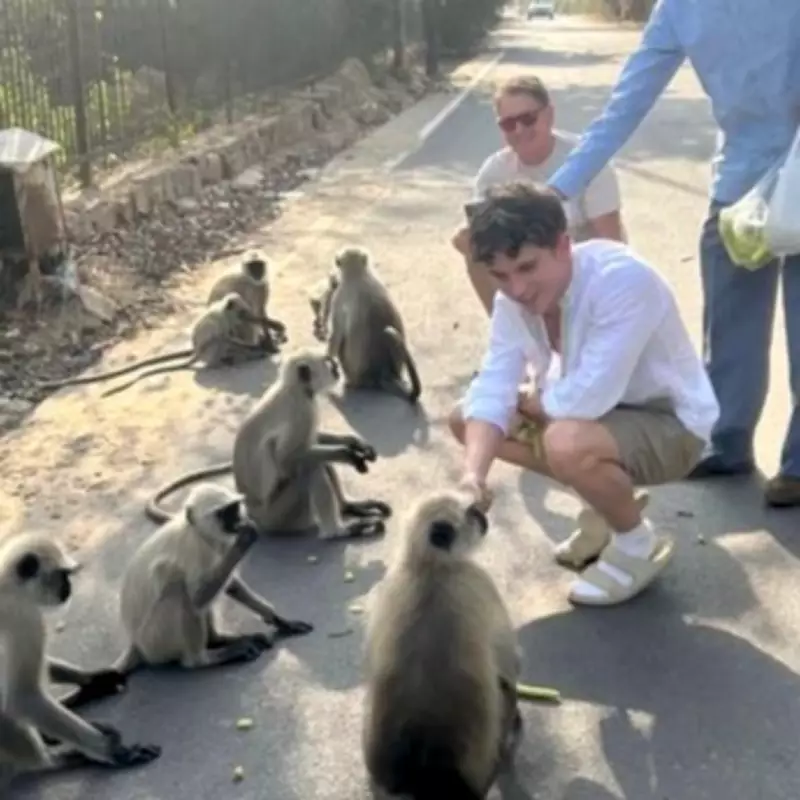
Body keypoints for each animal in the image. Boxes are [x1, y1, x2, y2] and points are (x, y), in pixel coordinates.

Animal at [0, 533, 161, 779]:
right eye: (62, 575)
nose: (68, 587)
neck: (9, 587)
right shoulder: (20, 616)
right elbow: (23, 696)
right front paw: (111, 751)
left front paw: (96, 680)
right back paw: (53, 759)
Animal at [112, 482, 313, 676]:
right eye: (225, 513)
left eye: (234, 508)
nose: (237, 519)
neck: (198, 533)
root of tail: (136, 644)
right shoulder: (195, 549)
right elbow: (197, 598)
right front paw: (244, 541)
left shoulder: (217, 544)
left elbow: (231, 585)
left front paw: (279, 620)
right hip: (154, 640)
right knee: (176, 586)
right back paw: (203, 659)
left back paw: (219, 639)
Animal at [144, 348, 392, 540]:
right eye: (329, 364)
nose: (337, 369)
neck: (294, 388)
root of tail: (255, 517)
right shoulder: (300, 410)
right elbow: (288, 458)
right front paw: (348, 454)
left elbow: (311, 443)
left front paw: (354, 443)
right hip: (282, 516)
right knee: (309, 467)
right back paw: (337, 532)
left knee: (317, 458)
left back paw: (349, 507)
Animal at [325, 245, 422, 404]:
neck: (358, 274)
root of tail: (379, 375)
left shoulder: (339, 296)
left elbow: (336, 335)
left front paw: (329, 360)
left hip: (352, 373)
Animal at [362, 490, 523, 800]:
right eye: (471, 514)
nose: (482, 516)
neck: (427, 567)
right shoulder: (477, 580)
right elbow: (510, 663)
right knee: (505, 689)